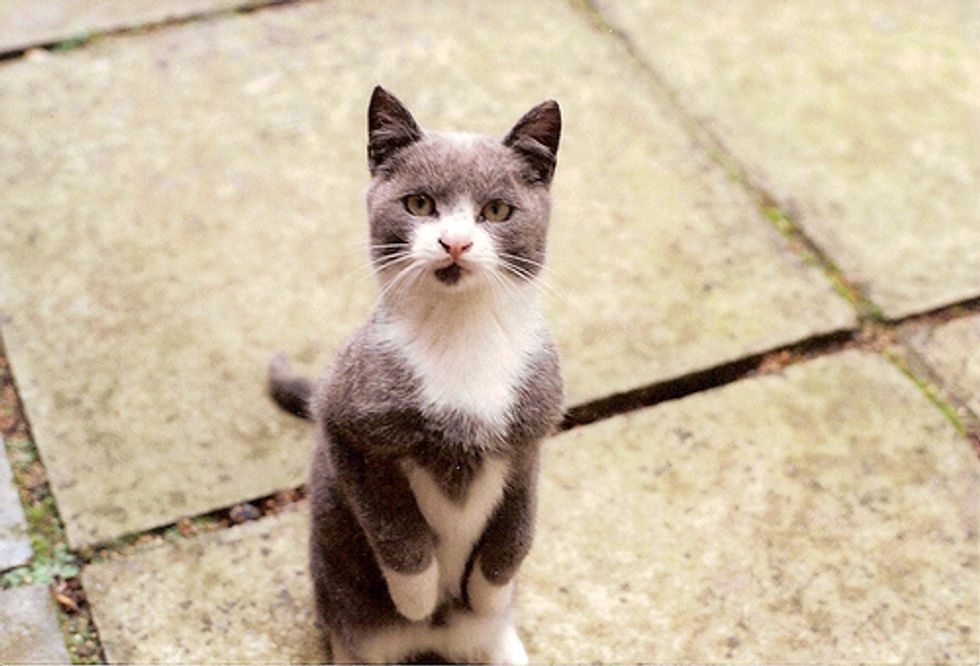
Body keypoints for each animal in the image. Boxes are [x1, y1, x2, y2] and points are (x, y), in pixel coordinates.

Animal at [270, 85, 568, 660]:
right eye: (420, 204)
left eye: (497, 210)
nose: (455, 242)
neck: (460, 335)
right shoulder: (345, 420)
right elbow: (395, 527)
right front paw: (416, 598)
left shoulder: (530, 435)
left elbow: (517, 528)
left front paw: (489, 596)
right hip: (346, 617)